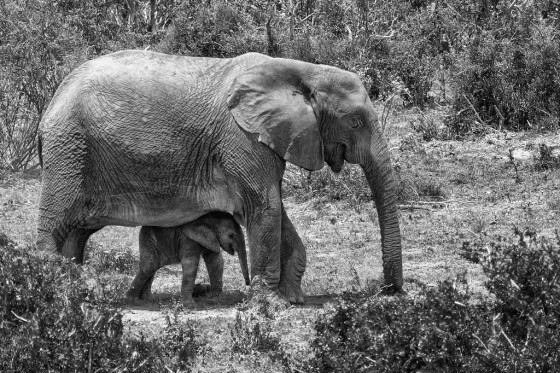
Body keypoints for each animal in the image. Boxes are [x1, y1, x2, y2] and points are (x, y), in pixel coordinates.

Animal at [36, 50, 402, 302]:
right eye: (355, 122)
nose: (388, 290)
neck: (301, 71)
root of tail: (53, 99)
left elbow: (276, 211)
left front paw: (293, 298)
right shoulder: (241, 138)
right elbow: (265, 208)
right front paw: (268, 303)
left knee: (76, 233)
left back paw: (76, 292)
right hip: (68, 149)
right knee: (55, 222)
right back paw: (50, 292)